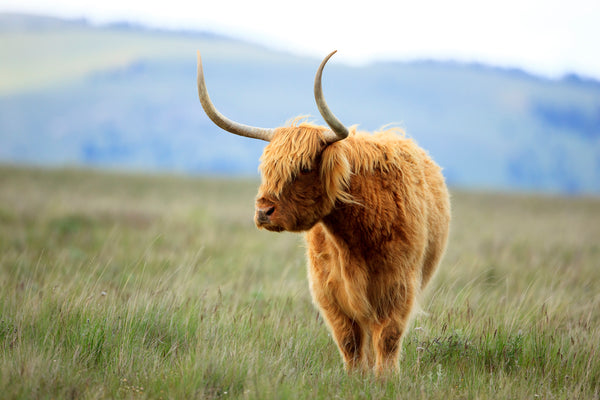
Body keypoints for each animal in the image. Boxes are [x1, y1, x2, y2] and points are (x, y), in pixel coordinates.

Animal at [197, 50, 450, 376]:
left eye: (304, 168)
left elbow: (388, 339)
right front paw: (356, 377)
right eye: (267, 168)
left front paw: (385, 378)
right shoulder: (328, 292)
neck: (356, 235)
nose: (263, 211)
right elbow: (349, 340)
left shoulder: (398, 288)